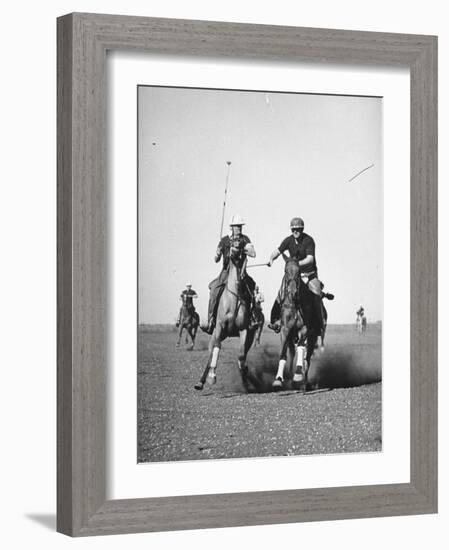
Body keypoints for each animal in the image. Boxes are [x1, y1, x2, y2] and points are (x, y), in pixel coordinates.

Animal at [194, 247, 258, 392]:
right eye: (231, 246)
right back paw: (200, 382)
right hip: (216, 334)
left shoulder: (244, 330)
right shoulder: (219, 327)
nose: (234, 253)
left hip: (250, 337)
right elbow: (217, 348)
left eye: (242, 247)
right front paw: (212, 377)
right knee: (211, 354)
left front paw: (246, 378)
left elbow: (241, 355)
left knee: (243, 354)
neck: (233, 299)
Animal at [272, 258, 320, 392]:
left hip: (312, 337)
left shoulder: (304, 329)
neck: (295, 303)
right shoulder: (285, 329)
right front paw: (278, 379)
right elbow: (283, 354)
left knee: (307, 359)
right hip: (290, 337)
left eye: (299, 271)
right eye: (285, 270)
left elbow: (301, 349)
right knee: (292, 354)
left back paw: (304, 383)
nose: (292, 292)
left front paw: (298, 375)